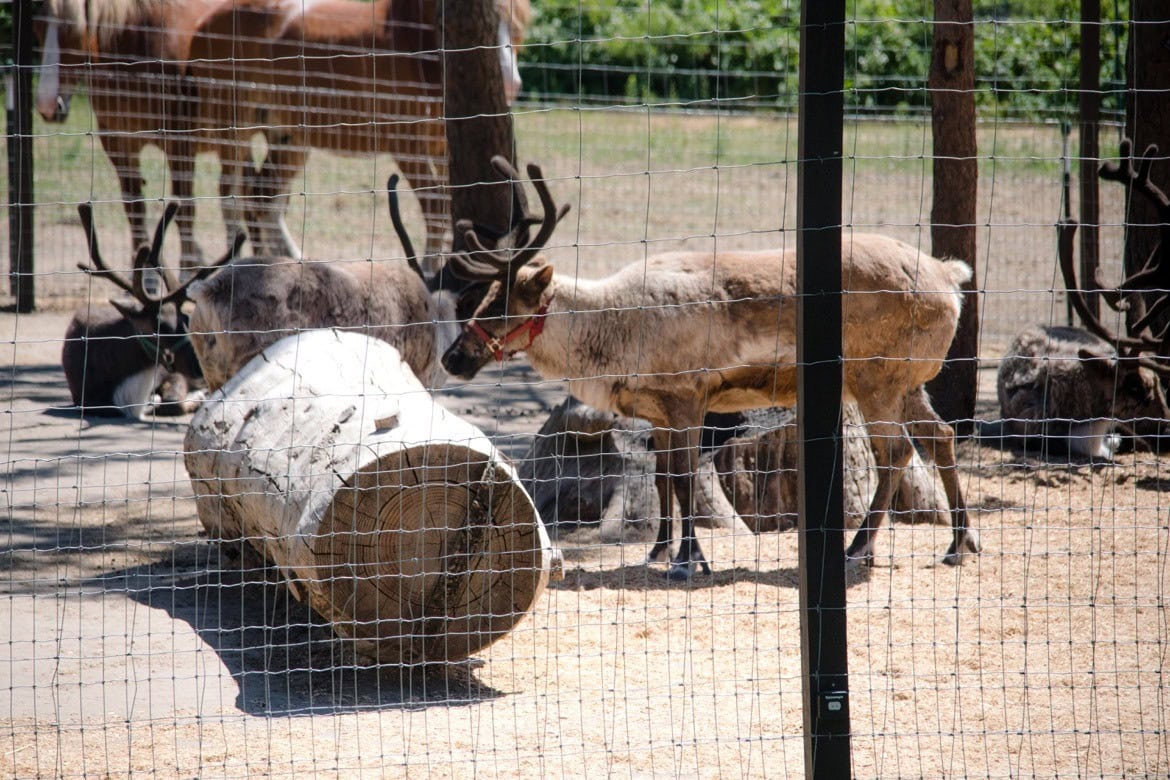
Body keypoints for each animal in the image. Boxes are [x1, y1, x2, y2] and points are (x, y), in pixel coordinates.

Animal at [62, 202, 242, 418]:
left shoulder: (172, 375)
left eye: (186, 318)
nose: (199, 366)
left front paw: (196, 397)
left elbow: (173, 402)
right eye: (159, 326)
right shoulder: (86, 400)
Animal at [440, 157, 981, 580]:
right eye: (484, 297)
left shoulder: (687, 396)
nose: (453, 358)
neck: (613, 326)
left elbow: (682, 478)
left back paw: (858, 548)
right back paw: (960, 543)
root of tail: (950, 276)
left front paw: (688, 560)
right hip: (907, 383)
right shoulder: (656, 410)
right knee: (942, 435)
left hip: (876, 378)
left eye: (500, 304)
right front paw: (660, 551)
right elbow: (663, 476)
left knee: (897, 451)